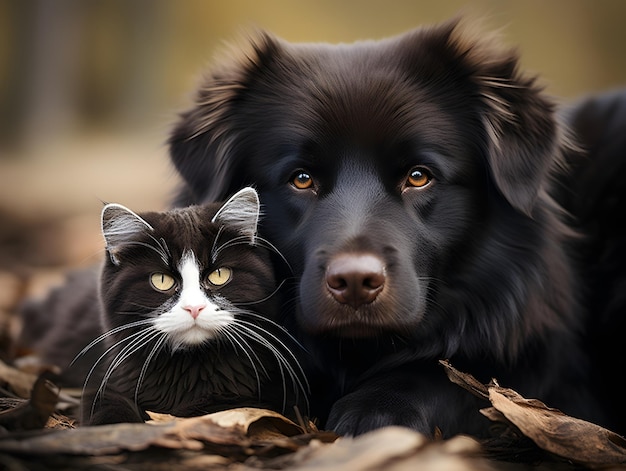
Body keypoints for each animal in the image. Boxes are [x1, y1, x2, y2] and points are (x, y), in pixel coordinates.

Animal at [79, 189, 308, 428]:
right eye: (161, 280)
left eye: (219, 275)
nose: (194, 308)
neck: (190, 366)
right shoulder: (108, 381)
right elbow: (106, 404)